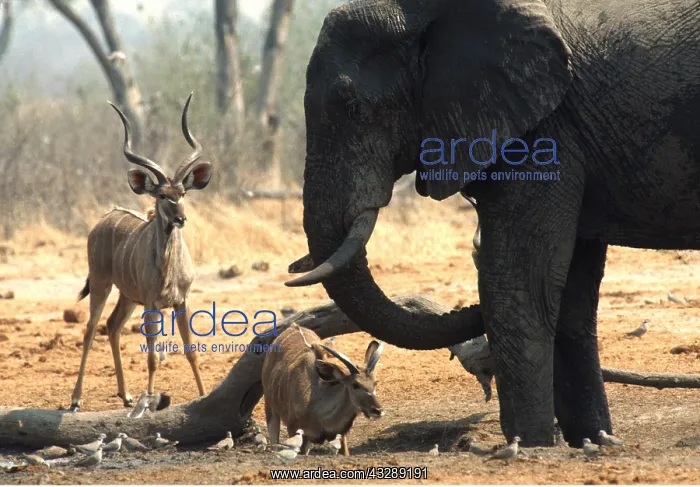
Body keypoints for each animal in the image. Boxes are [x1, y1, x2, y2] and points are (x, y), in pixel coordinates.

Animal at [285, 0, 700, 447]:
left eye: (354, 109)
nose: (468, 309)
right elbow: (569, 290)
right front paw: (591, 441)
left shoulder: (544, 132)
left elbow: (520, 280)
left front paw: (531, 444)